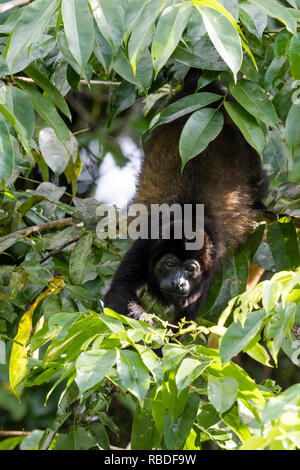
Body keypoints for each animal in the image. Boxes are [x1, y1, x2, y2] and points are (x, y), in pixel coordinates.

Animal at [104, 69, 268, 324]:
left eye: (190, 270)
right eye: (170, 265)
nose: (179, 283)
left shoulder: (210, 262)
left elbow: (186, 320)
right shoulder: (146, 243)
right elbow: (119, 290)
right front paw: (147, 322)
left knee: (258, 179)